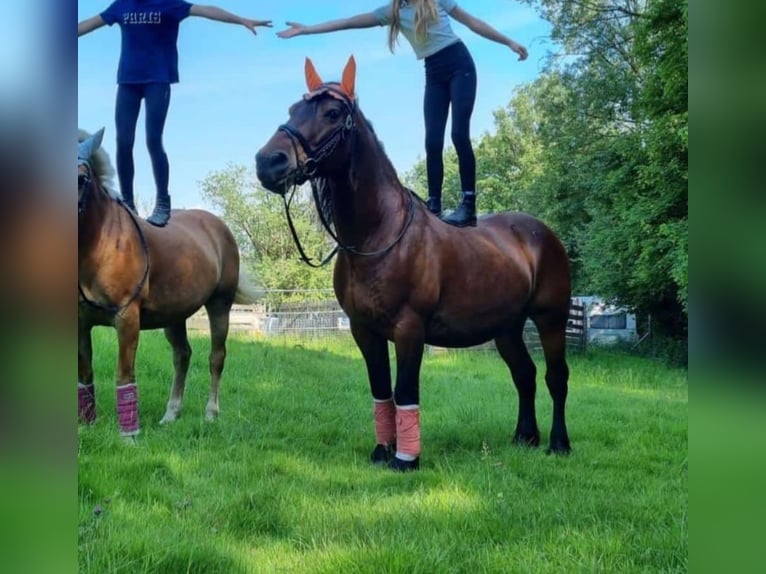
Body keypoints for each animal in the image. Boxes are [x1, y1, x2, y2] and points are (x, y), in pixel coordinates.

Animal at [78, 128, 261, 437]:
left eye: (81, 178)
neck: (103, 243)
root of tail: (218, 226)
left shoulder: (127, 319)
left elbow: (124, 374)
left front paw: (129, 435)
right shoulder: (81, 322)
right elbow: (85, 374)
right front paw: (86, 426)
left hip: (220, 305)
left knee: (216, 357)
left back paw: (211, 413)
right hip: (175, 316)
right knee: (182, 356)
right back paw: (171, 414)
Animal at [255, 56, 573, 472]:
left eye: (332, 113)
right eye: (294, 109)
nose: (268, 162)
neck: (377, 236)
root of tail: (542, 233)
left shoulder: (409, 330)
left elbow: (405, 390)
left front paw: (405, 459)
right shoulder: (364, 331)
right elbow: (381, 391)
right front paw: (381, 451)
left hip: (552, 318)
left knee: (556, 377)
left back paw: (559, 443)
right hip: (507, 327)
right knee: (525, 374)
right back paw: (525, 437)